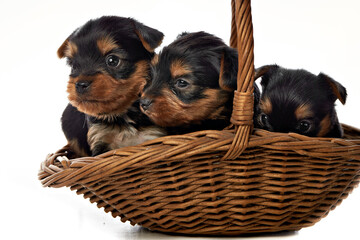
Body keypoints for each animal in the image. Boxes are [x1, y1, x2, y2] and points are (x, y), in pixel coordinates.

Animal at [58, 15, 166, 157]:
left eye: (113, 60)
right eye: (74, 66)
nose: (80, 84)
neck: (123, 113)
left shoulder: (153, 135)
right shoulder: (100, 140)